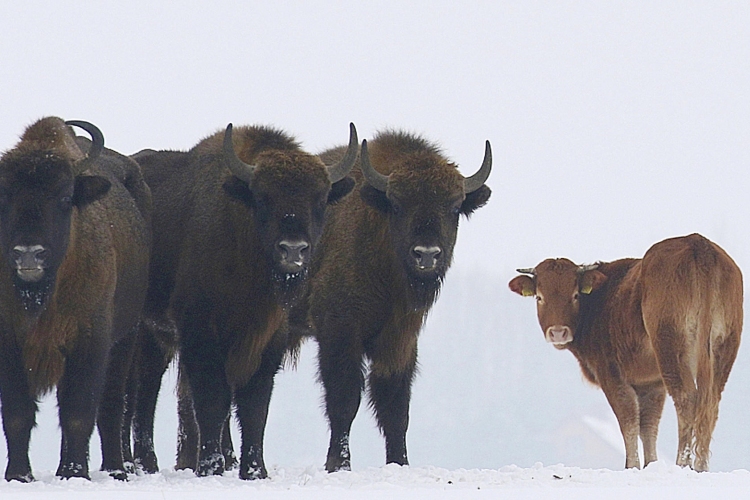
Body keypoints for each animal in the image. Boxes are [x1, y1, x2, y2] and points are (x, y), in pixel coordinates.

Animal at [0, 117, 151, 480]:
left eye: (65, 197)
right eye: (4, 196)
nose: (29, 254)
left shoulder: (91, 340)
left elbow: (79, 412)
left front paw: (75, 473)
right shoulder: (9, 341)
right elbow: (17, 413)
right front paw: (18, 475)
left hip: (126, 339)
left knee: (111, 407)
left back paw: (114, 469)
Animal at [130, 123, 362, 478]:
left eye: (320, 199)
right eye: (263, 198)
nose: (293, 250)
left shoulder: (268, 339)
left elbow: (255, 405)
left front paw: (255, 471)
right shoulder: (201, 333)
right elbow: (213, 400)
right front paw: (211, 467)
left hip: (156, 337)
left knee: (144, 390)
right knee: (137, 393)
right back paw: (138, 465)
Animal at [292, 130, 494, 472]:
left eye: (454, 207)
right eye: (398, 205)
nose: (426, 255)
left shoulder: (400, 339)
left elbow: (395, 407)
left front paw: (400, 463)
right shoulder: (339, 331)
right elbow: (345, 398)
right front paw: (338, 464)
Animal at [512, 232, 748, 470]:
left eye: (575, 295)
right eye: (539, 297)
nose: (558, 332)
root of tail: (698, 243)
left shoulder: (611, 374)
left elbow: (628, 419)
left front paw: (632, 465)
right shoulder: (651, 383)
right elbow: (648, 425)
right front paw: (651, 464)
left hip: (671, 348)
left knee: (686, 398)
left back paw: (682, 463)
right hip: (724, 347)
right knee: (711, 403)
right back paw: (701, 467)